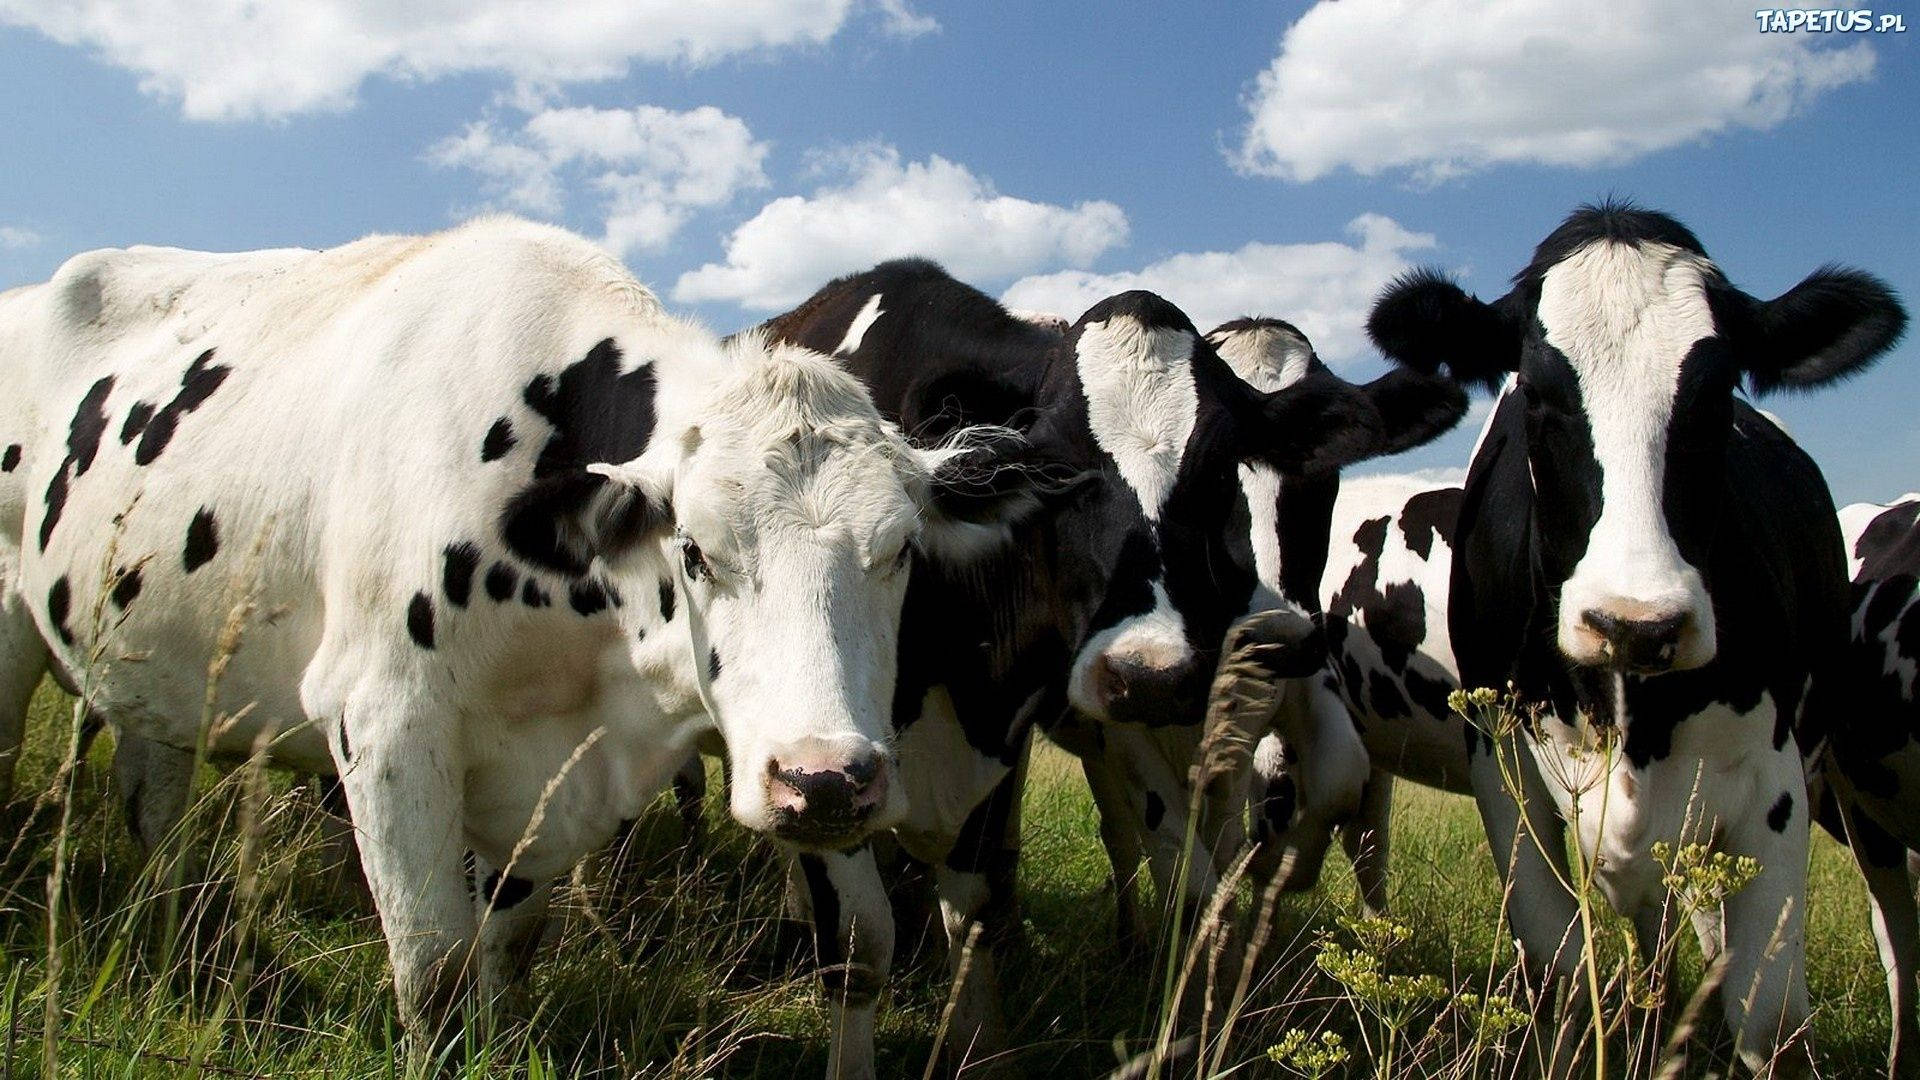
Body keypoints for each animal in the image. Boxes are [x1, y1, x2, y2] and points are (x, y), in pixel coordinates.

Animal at [1367, 201, 1904, 1068]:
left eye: (1719, 393)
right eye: (1536, 395)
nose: (1635, 623)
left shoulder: (1775, 783)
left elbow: (1770, 1014)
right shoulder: (1505, 773)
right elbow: (1556, 970)